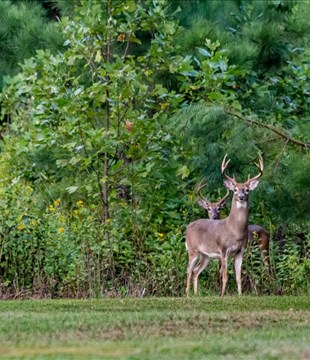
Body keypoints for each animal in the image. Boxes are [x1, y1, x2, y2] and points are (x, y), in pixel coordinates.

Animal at [185, 153, 262, 296]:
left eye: (247, 190)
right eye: (235, 189)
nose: (241, 196)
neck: (234, 230)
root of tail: (188, 227)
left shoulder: (240, 252)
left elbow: (238, 277)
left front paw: (240, 296)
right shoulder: (223, 250)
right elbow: (225, 276)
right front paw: (221, 295)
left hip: (206, 255)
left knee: (196, 271)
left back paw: (196, 295)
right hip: (193, 250)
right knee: (188, 270)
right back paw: (187, 295)